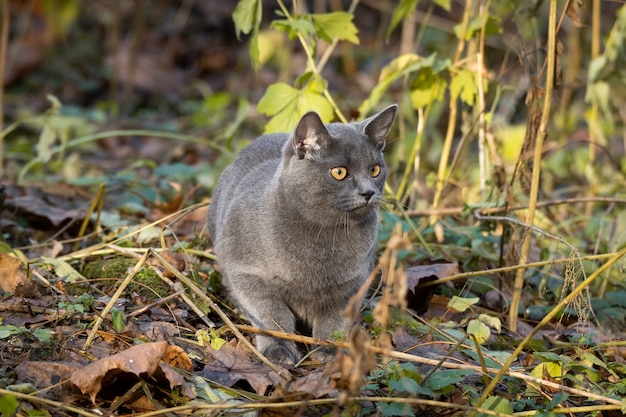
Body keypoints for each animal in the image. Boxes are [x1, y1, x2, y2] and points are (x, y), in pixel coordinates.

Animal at [207, 105, 398, 364]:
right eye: (339, 172)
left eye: (375, 169)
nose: (368, 192)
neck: (325, 235)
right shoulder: (244, 271)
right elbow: (272, 313)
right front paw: (278, 349)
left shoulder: (354, 281)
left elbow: (334, 320)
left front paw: (328, 349)